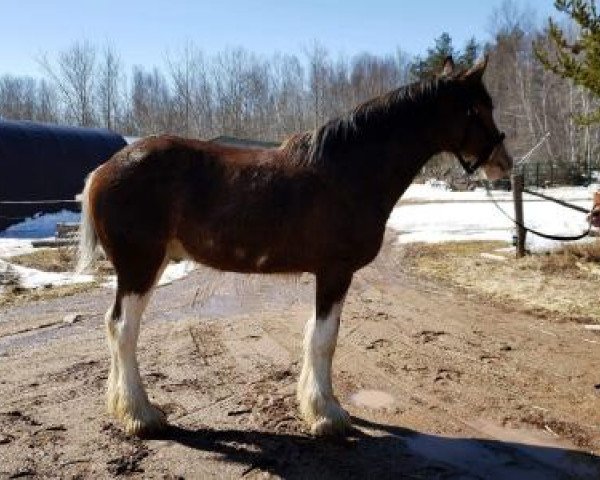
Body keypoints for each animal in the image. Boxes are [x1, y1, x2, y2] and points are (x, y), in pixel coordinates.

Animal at [77, 54, 512, 436]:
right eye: (478, 108)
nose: (504, 163)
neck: (348, 171)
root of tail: (103, 169)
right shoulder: (335, 272)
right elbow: (324, 340)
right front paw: (328, 415)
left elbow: (315, 336)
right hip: (139, 267)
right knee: (123, 330)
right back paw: (142, 415)